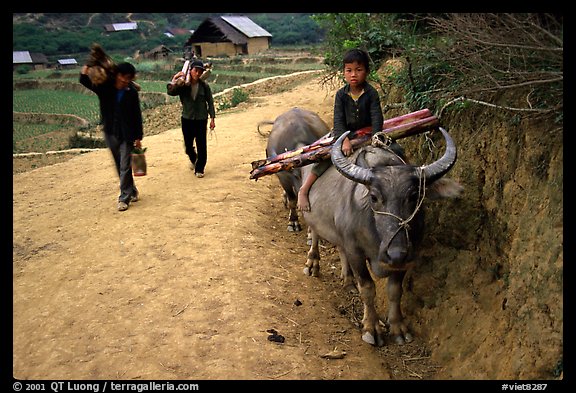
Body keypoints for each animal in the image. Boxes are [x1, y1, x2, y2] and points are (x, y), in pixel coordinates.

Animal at [304, 127, 462, 344]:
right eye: (374, 197)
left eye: (414, 196)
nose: (395, 253)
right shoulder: (356, 252)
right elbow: (368, 288)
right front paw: (372, 328)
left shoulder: (407, 257)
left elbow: (395, 290)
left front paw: (397, 327)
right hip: (312, 215)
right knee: (315, 234)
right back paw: (312, 263)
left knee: (340, 247)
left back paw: (348, 281)